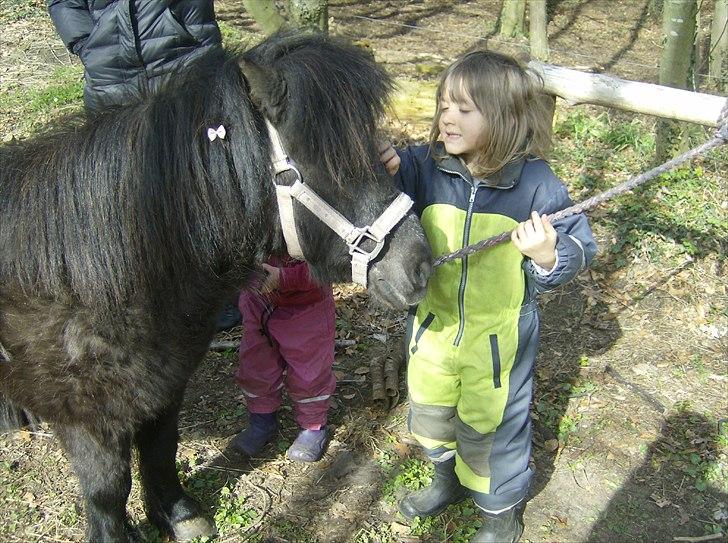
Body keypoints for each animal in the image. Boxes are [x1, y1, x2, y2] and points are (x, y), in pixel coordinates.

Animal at [0, 34, 432, 543]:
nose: (421, 266)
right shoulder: (88, 417)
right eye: (326, 165)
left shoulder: (165, 387)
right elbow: (107, 489)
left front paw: (178, 512)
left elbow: (160, 449)